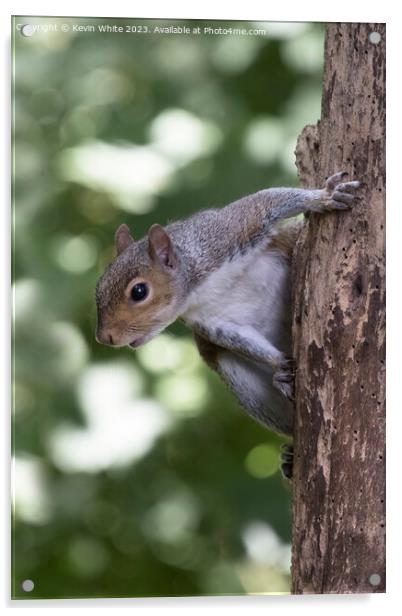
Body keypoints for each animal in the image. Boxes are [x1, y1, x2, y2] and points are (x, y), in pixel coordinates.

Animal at [95, 171, 362, 478]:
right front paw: (279, 366)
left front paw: (324, 197)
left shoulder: (228, 234)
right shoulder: (214, 323)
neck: (199, 290)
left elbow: (267, 202)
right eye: (98, 285)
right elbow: (239, 339)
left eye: (139, 291)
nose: (104, 337)